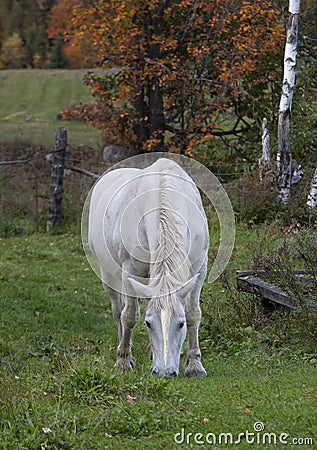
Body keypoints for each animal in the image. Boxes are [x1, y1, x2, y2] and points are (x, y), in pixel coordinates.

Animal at [87, 158, 209, 376]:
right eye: (148, 323)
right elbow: (129, 316)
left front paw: (195, 365)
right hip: (109, 275)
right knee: (118, 310)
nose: (164, 372)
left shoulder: (199, 268)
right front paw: (123, 361)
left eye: (181, 324)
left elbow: (194, 313)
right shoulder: (130, 271)